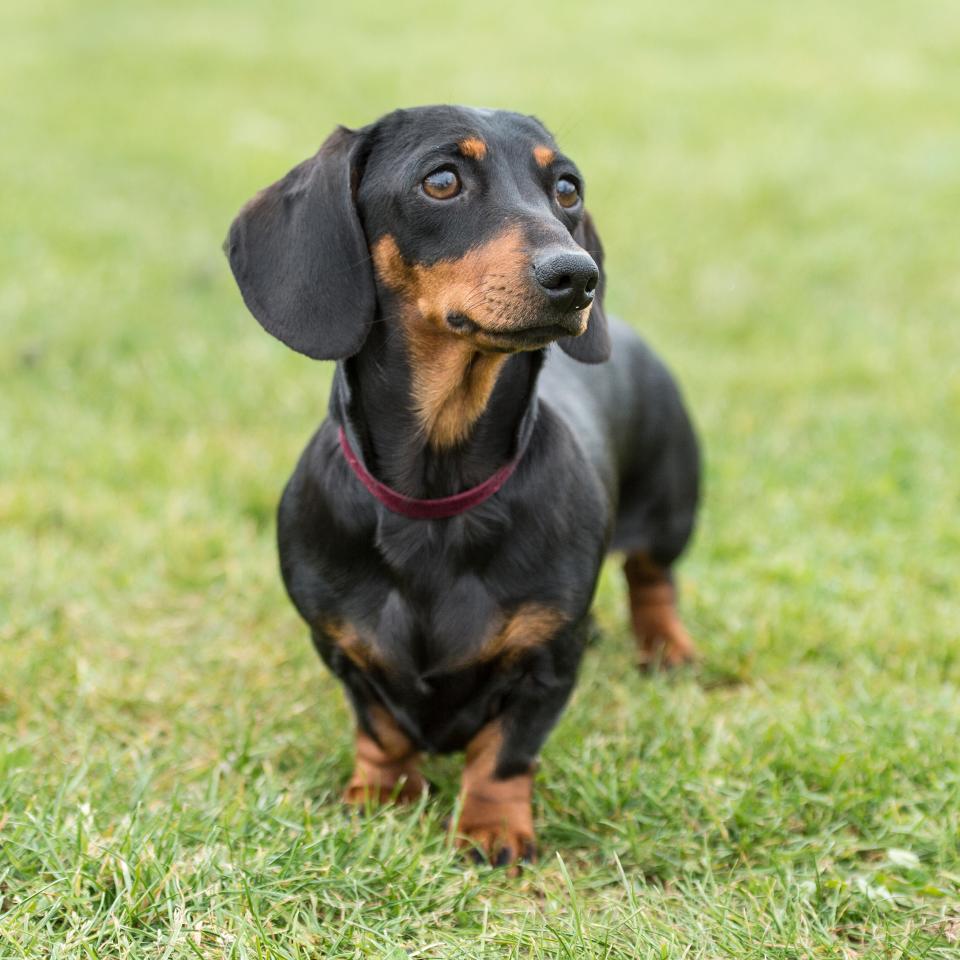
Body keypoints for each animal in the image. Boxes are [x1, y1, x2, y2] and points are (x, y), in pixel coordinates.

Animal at [229, 107, 700, 872]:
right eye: (442, 180)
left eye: (566, 187)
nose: (579, 277)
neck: (435, 499)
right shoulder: (341, 649)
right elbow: (380, 728)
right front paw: (382, 792)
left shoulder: (547, 662)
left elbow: (505, 752)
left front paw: (491, 826)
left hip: (671, 506)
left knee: (652, 577)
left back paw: (667, 647)